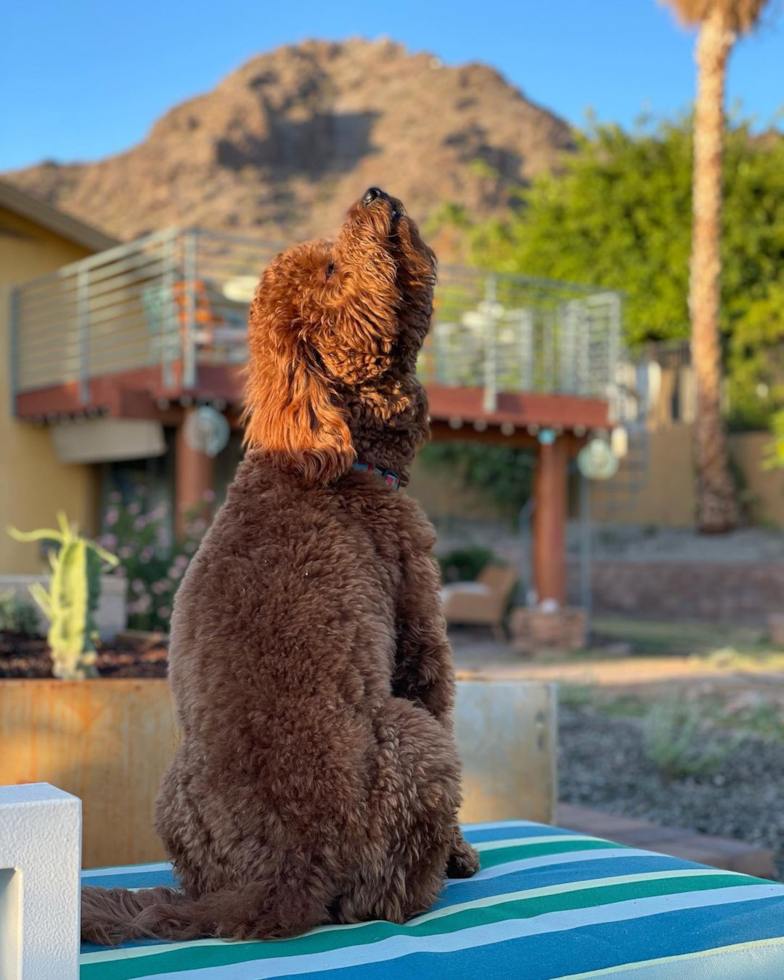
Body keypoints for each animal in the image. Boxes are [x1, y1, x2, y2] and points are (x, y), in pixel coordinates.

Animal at [82, 188, 480, 944]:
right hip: (414, 746)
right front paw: (465, 853)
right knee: (385, 897)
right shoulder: (419, 636)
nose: (375, 193)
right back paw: (430, 883)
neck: (336, 458)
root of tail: (286, 871)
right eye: (331, 269)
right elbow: (441, 697)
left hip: (171, 791)